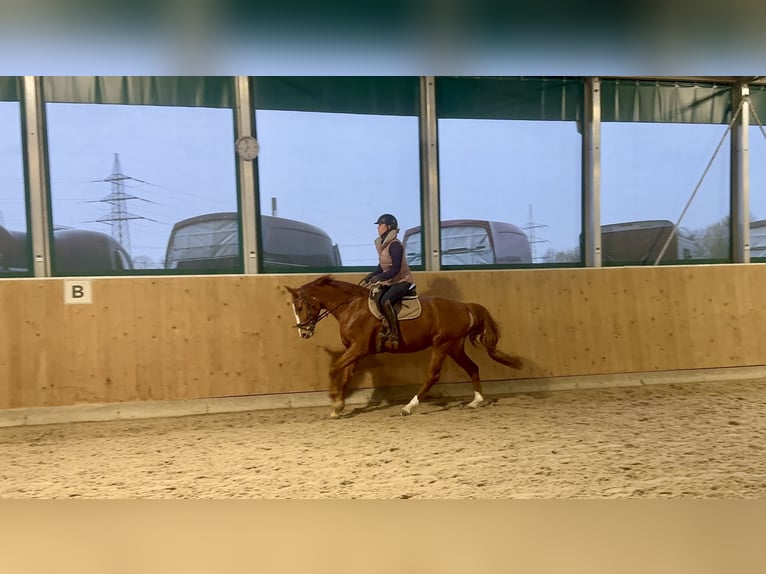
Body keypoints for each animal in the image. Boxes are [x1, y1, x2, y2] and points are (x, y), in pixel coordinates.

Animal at [286, 275, 523, 417]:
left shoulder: (358, 348)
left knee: (433, 375)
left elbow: (334, 368)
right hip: (454, 346)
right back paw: (476, 401)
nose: (303, 332)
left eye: (300, 306)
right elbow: (345, 375)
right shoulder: (354, 350)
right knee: (472, 367)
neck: (351, 307)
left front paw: (334, 401)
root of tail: (464, 306)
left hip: (443, 344)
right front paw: (339, 407)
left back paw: (409, 407)